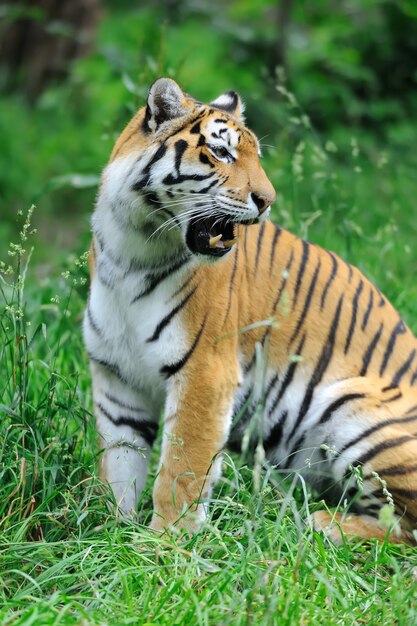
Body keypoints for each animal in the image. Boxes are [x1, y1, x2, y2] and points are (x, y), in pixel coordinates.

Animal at [83, 78, 416, 544]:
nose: (268, 200)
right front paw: (111, 534)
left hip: (356, 411)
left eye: (257, 156)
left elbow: (181, 472)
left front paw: (166, 545)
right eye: (222, 152)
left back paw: (325, 524)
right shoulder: (117, 378)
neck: (133, 249)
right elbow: (118, 465)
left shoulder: (205, 373)